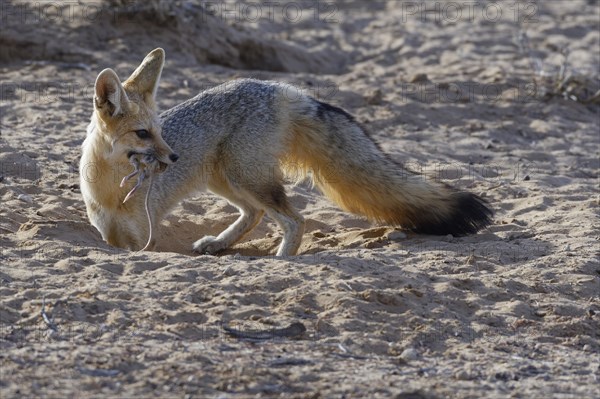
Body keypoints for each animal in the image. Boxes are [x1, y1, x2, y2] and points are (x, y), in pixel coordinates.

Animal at [79, 48, 492, 258]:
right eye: (143, 133)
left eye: (161, 132)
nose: (175, 157)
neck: (111, 192)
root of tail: (284, 89)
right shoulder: (111, 236)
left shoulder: (140, 239)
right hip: (226, 179)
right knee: (256, 213)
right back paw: (220, 243)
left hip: (245, 176)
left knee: (294, 218)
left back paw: (282, 258)